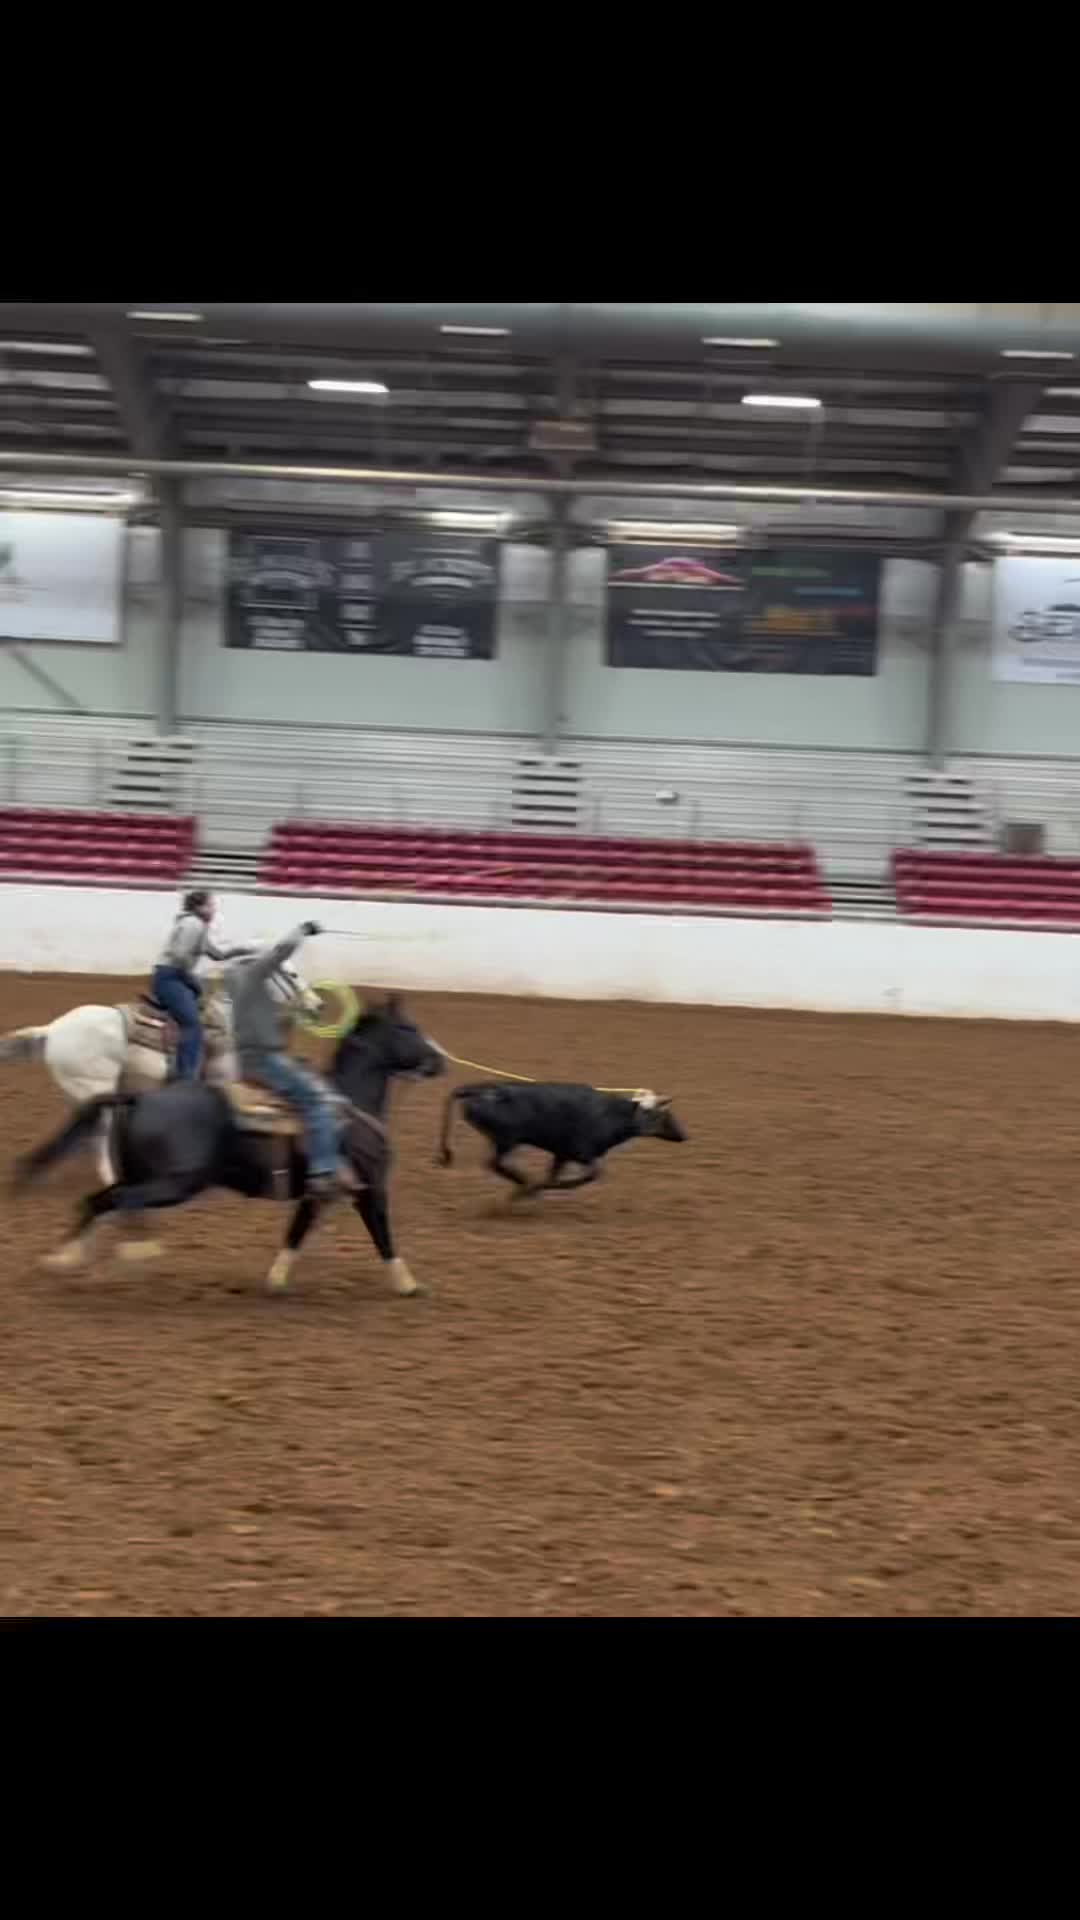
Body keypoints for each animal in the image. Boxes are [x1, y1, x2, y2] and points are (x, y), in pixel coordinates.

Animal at [0, 964, 321, 1184]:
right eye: (292, 974)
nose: (318, 1005)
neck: (224, 1020)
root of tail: (53, 1030)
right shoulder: (224, 1083)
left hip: (81, 1095)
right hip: (96, 1092)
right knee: (97, 1138)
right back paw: (110, 1179)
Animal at [14, 995, 446, 1298]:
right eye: (409, 1028)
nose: (439, 1061)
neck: (350, 1105)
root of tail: (141, 1099)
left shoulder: (315, 1195)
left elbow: (295, 1234)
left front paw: (275, 1281)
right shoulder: (370, 1189)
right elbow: (383, 1234)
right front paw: (409, 1284)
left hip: (147, 1176)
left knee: (107, 1201)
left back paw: (93, 1253)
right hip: (173, 1183)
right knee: (108, 1201)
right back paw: (93, 1256)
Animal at [437, 1081, 686, 1196]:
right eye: (664, 1115)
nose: (683, 1135)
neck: (610, 1115)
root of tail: (482, 1090)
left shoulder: (561, 1154)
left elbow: (552, 1175)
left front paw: (541, 1188)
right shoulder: (581, 1152)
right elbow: (592, 1174)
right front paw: (541, 1188)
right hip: (506, 1139)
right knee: (494, 1163)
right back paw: (523, 1183)